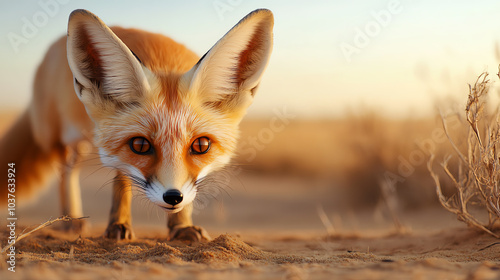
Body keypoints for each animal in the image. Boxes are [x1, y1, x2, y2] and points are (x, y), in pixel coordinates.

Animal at [0, 8, 274, 241]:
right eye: (140, 145)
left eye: (201, 145)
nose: (173, 197)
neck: (164, 61)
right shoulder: (118, 151)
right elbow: (122, 179)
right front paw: (118, 225)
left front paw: (181, 226)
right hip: (56, 138)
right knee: (64, 172)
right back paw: (71, 218)